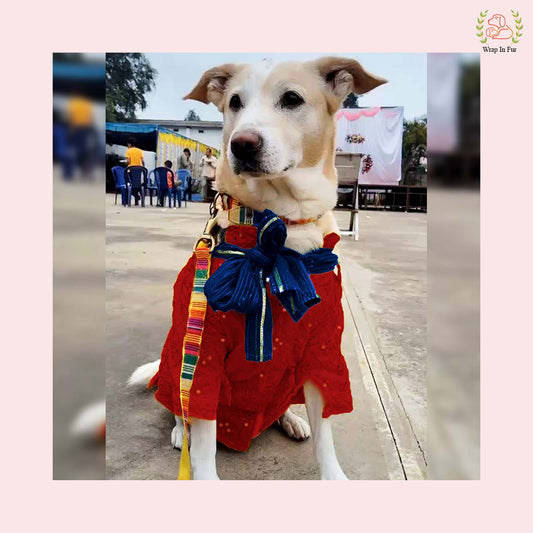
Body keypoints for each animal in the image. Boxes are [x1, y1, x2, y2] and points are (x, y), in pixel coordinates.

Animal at [129, 56, 386, 480]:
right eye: (235, 102)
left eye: (292, 98)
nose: (242, 144)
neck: (279, 229)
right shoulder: (206, 353)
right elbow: (203, 437)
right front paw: (202, 472)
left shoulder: (322, 349)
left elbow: (326, 436)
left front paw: (333, 474)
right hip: (177, 355)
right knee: (177, 406)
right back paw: (180, 433)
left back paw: (291, 419)